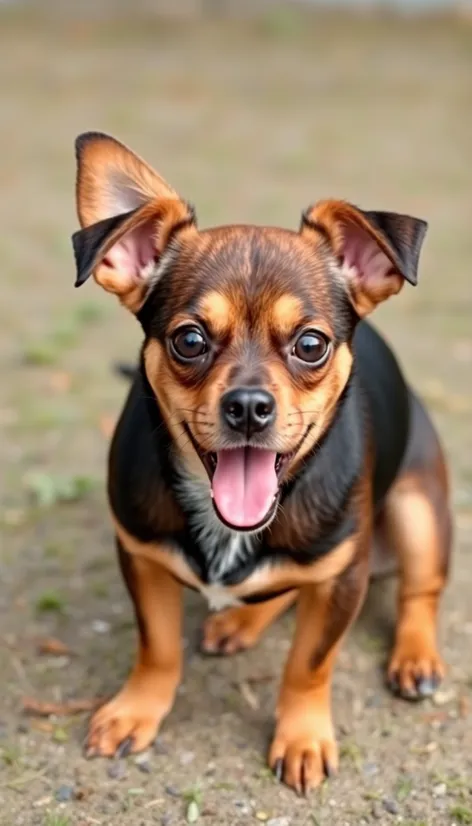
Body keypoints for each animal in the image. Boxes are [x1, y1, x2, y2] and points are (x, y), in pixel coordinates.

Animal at [72, 134, 452, 792]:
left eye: (311, 345)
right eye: (189, 340)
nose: (248, 406)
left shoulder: (342, 579)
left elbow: (309, 664)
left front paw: (302, 738)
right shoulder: (141, 558)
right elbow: (158, 646)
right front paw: (136, 711)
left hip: (418, 509)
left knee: (419, 589)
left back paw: (416, 656)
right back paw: (238, 622)